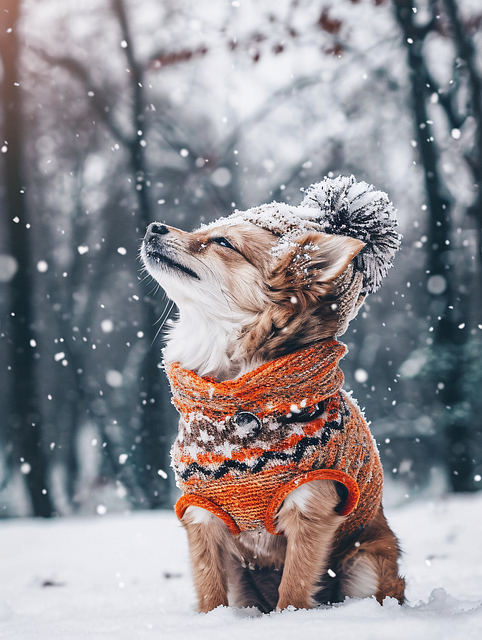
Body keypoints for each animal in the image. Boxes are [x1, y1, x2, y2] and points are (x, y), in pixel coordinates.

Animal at [141, 174, 404, 608]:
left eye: (223, 242)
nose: (153, 227)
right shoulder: (202, 513)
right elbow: (209, 592)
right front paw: (210, 620)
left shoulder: (311, 508)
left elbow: (294, 588)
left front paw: (290, 617)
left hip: (364, 563)